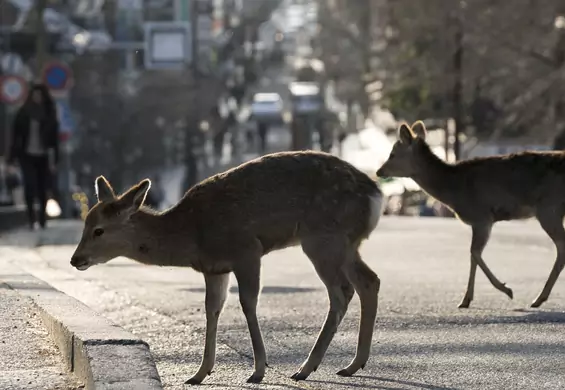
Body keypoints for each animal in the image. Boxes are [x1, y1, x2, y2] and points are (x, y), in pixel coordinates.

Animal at [68, 151, 382, 386]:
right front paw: (199, 373)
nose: (75, 259)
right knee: (369, 281)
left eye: (98, 230)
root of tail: (376, 196)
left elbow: (247, 303)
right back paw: (352, 365)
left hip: (323, 238)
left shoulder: (247, 250)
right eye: (85, 223)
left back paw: (306, 368)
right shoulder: (214, 268)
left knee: (341, 291)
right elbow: (212, 308)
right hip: (345, 243)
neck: (191, 236)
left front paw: (257, 371)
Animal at [376, 120, 565, 310]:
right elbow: (473, 255)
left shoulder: (481, 216)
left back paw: (538, 298)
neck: (454, 189)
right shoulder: (481, 220)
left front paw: (506, 289)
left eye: (392, 154)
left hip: (549, 208)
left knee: (561, 247)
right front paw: (466, 299)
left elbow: (474, 253)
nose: (378, 171)